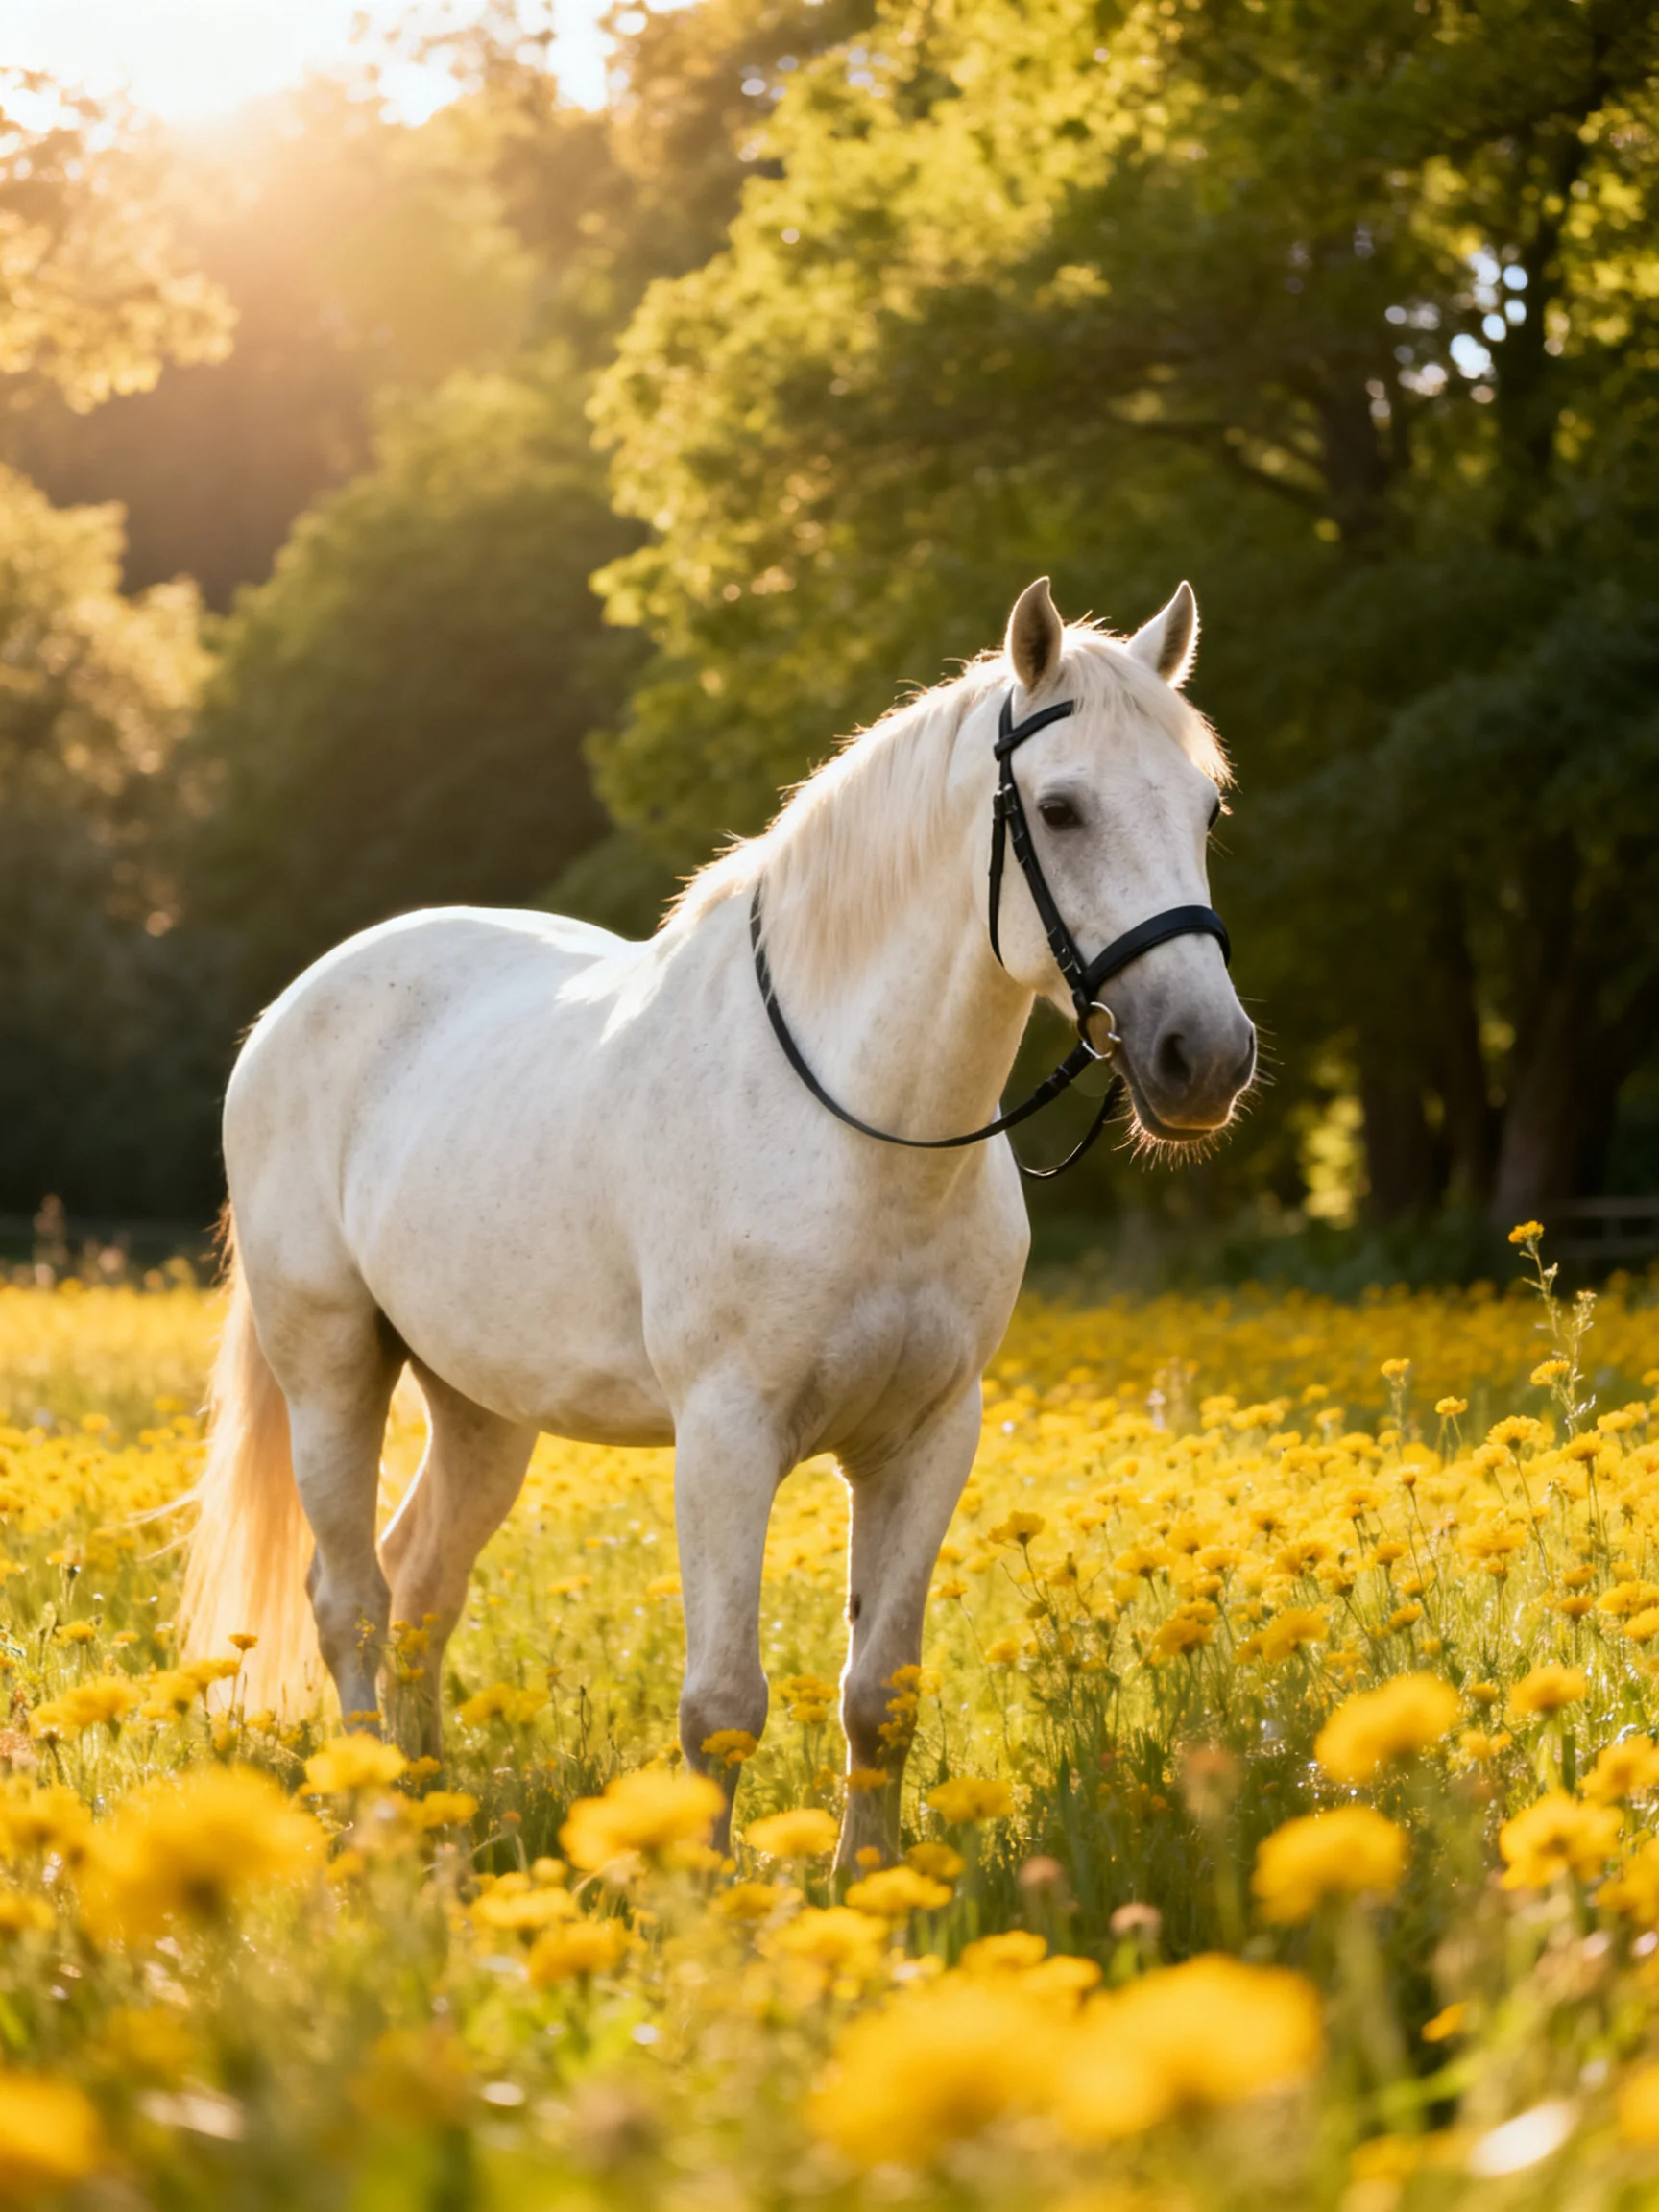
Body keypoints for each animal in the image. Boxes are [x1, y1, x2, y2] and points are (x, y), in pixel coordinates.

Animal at [180, 576, 1256, 1862]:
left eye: (1205, 808)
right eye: (1060, 808)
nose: (1206, 1057)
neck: (863, 1135)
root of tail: (292, 1008)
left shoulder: (928, 1438)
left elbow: (878, 1697)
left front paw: (872, 1889)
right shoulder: (727, 1437)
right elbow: (723, 1708)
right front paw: (711, 1896)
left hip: (482, 1407)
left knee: (420, 1593)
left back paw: (435, 1820)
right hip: (333, 1367)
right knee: (350, 1601)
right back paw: (377, 1825)